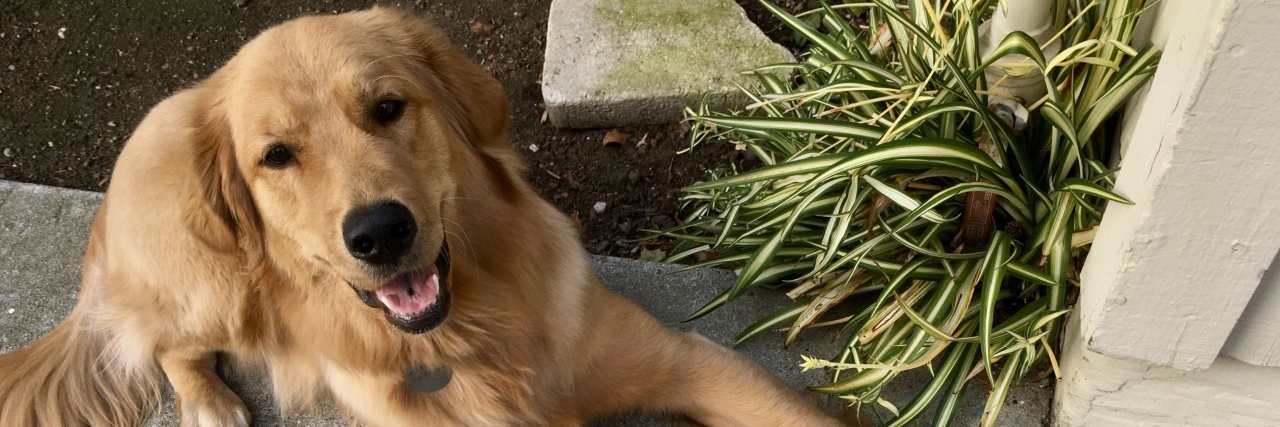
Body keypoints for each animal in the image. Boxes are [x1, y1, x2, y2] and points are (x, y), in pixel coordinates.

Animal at [0, 6, 839, 427]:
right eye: (277, 155)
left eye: (386, 107)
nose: (379, 232)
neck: (465, 338)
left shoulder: (688, 361)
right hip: (211, 280)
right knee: (167, 343)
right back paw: (210, 404)